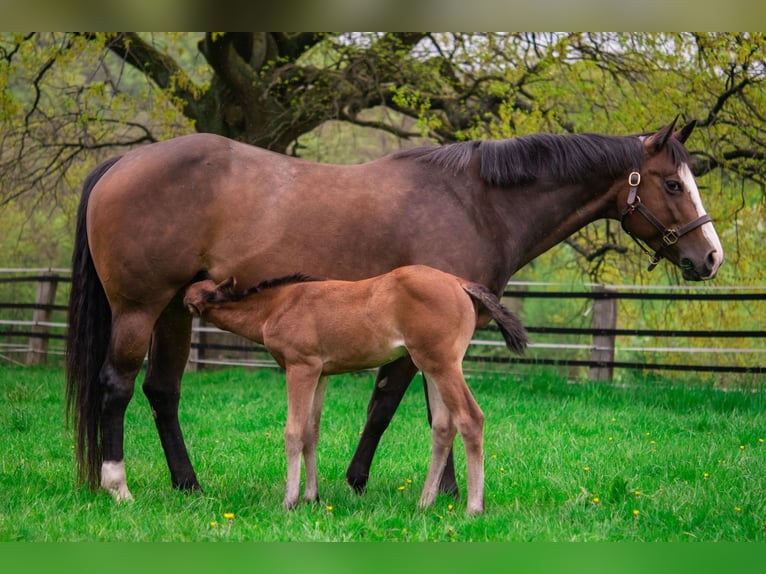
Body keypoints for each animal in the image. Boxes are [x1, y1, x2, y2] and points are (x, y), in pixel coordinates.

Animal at [182, 265, 528, 514]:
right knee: (443, 427)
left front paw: (290, 500)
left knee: (471, 419)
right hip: (431, 366)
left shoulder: (300, 367)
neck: (277, 306)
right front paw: (312, 497)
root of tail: (459, 282)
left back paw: (474, 508)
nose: (181, 300)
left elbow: (293, 432)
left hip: (442, 364)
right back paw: (424, 503)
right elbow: (311, 433)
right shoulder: (320, 373)